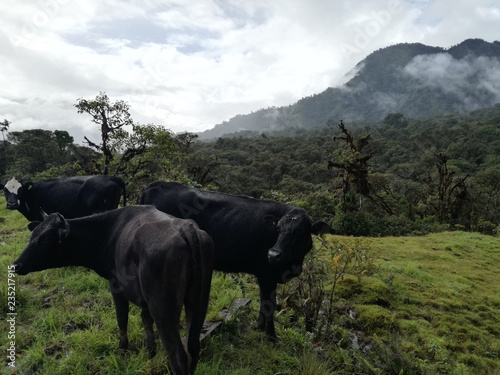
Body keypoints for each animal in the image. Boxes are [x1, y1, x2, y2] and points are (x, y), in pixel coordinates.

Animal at [11, 206, 214, 375]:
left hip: (163, 307)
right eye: (33, 235)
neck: (108, 233)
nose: (15, 265)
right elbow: (146, 320)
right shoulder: (144, 299)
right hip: (198, 303)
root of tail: (186, 227)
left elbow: (121, 318)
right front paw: (150, 351)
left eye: (44, 238)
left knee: (178, 355)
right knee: (192, 346)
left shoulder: (116, 286)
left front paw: (122, 349)